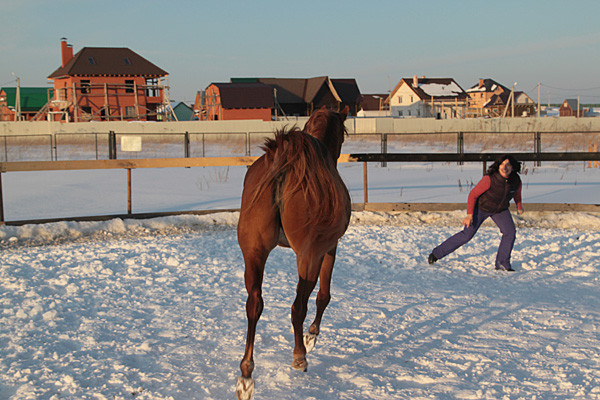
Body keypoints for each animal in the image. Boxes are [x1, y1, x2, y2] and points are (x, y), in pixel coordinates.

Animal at [236, 106, 352, 400]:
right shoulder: (330, 248)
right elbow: (323, 296)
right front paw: (311, 336)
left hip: (254, 252)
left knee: (254, 304)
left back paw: (246, 375)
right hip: (308, 256)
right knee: (298, 306)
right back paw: (300, 355)